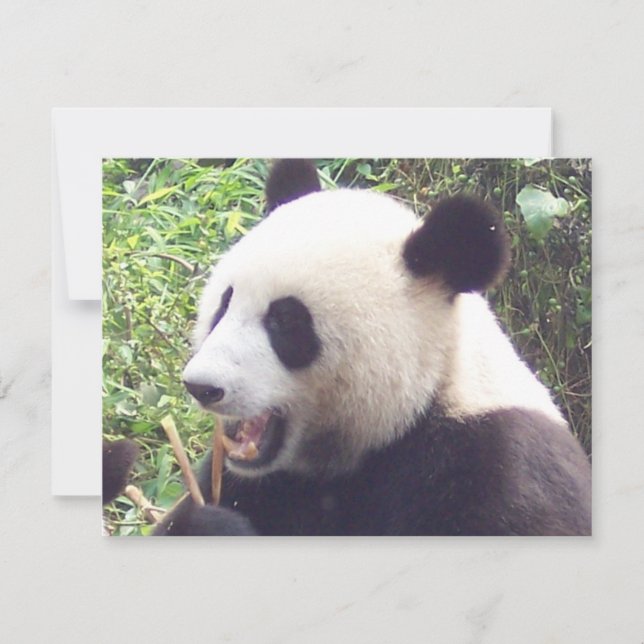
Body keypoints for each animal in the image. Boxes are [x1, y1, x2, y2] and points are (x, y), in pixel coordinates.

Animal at [153, 159, 591, 536]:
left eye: (286, 320)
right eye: (224, 304)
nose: (203, 386)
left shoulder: (494, 468)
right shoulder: (262, 483)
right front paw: (209, 522)